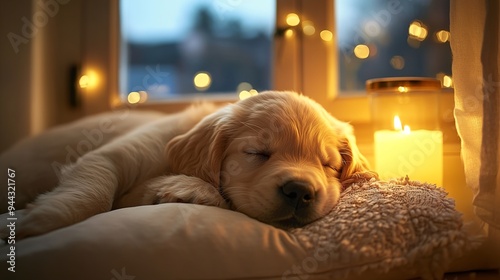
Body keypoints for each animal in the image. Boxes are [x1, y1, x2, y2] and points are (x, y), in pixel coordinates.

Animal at [0, 91, 376, 238]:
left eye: (327, 165)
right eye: (257, 153)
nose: (299, 191)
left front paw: (184, 189)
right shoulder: (112, 156)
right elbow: (92, 194)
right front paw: (29, 221)